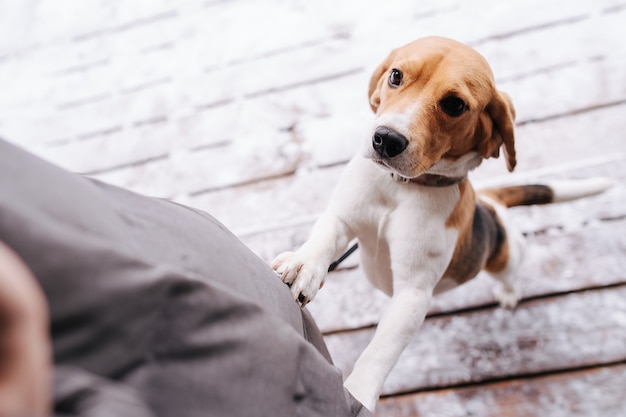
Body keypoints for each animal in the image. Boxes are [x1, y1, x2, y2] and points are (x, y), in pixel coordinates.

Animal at [270, 36, 608, 412]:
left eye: (455, 104)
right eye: (396, 75)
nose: (386, 139)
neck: (402, 187)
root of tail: (490, 202)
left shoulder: (413, 293)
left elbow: (379, 351)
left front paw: (357, 393)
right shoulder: (342, 217)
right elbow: (325, 237)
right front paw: (304, 265)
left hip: (504, 257)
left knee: (511, 270)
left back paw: (509, 292)